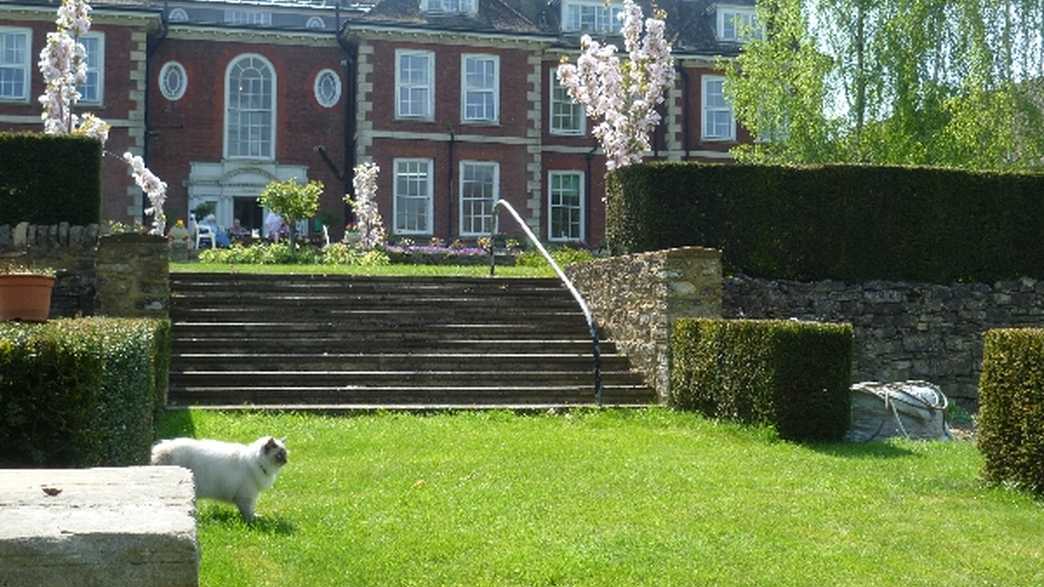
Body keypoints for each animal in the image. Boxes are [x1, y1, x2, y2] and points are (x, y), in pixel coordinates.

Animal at [152, 432, 290, 518]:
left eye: (285, 454)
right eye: (279, 455)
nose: (286, 461)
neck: (257, 462)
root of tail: (161, 449)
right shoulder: (247, 496)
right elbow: (249, 513)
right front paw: (254, 520)